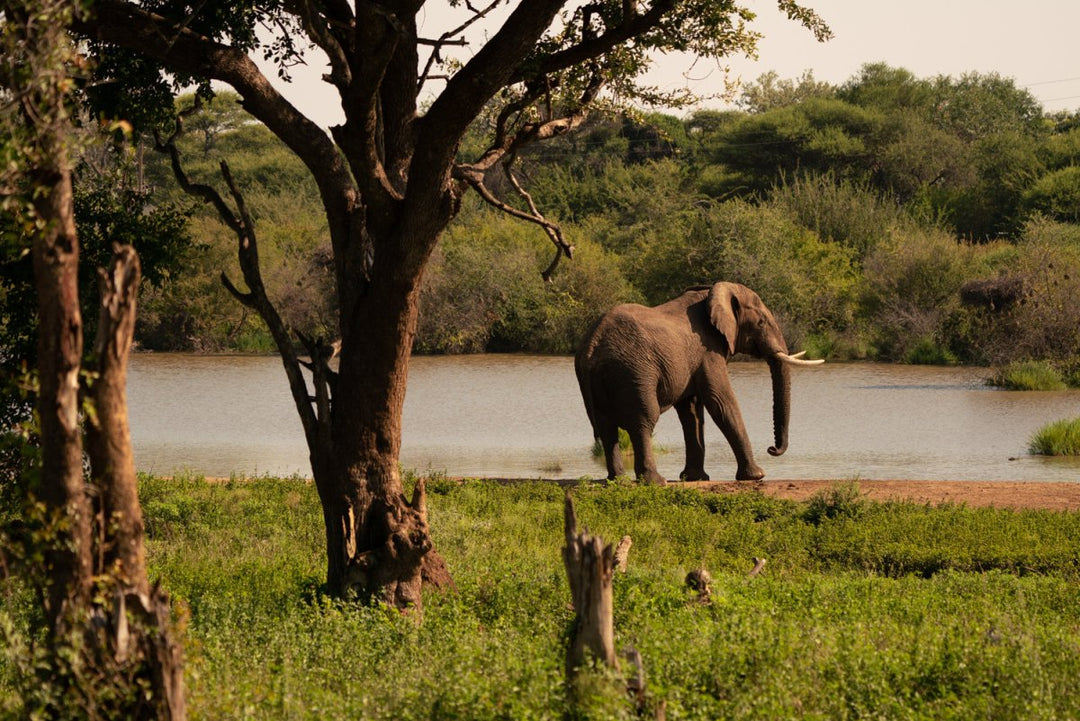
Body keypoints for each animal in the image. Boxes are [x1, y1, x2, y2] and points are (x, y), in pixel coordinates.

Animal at [578, 280, 820, 483]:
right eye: (761, 322)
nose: (772, 449)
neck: (712, 293)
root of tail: (593, 345)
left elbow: (691, 410)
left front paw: (695, 478)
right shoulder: (709, 350)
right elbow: (721, 402)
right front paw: (756, 476)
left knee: (605, 425)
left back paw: (617, 480)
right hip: (635, 372)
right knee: (643, 420)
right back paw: (655, 481)